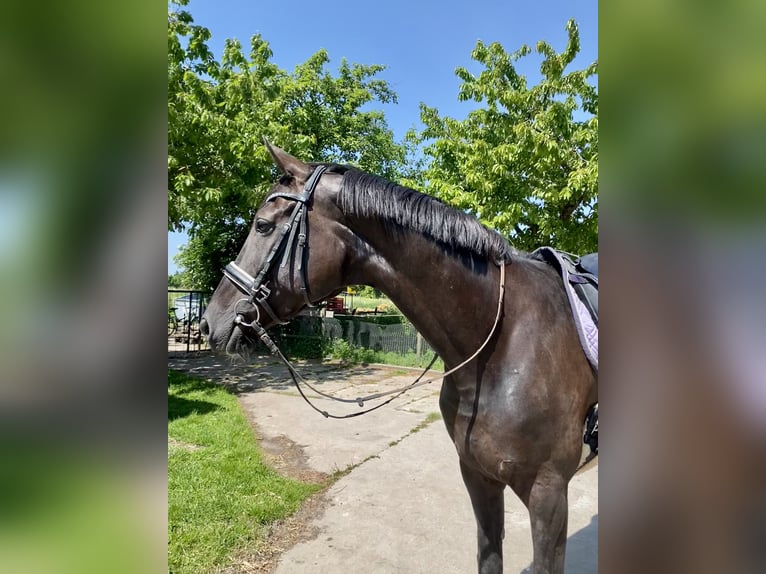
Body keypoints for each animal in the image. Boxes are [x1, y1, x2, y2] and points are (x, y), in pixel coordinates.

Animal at [202, 144, 600, 574]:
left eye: (262, 226)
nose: (209, 323)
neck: (502, 341)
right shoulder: (478, 477)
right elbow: (488, 555)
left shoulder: (548, 495)